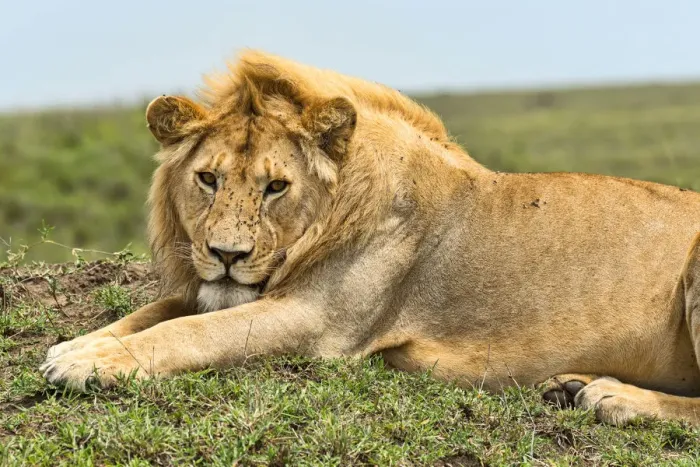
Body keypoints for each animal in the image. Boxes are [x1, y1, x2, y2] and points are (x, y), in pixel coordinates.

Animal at [41, 50, 700, 426]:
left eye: (276, 186)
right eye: (208, 179)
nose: (228, 256)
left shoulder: (316, 320)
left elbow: (190, 333)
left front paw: (90, 363)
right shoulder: (212, 288)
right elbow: (148, 314)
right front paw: (78, 346)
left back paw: (616, 399)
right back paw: (570, 386)